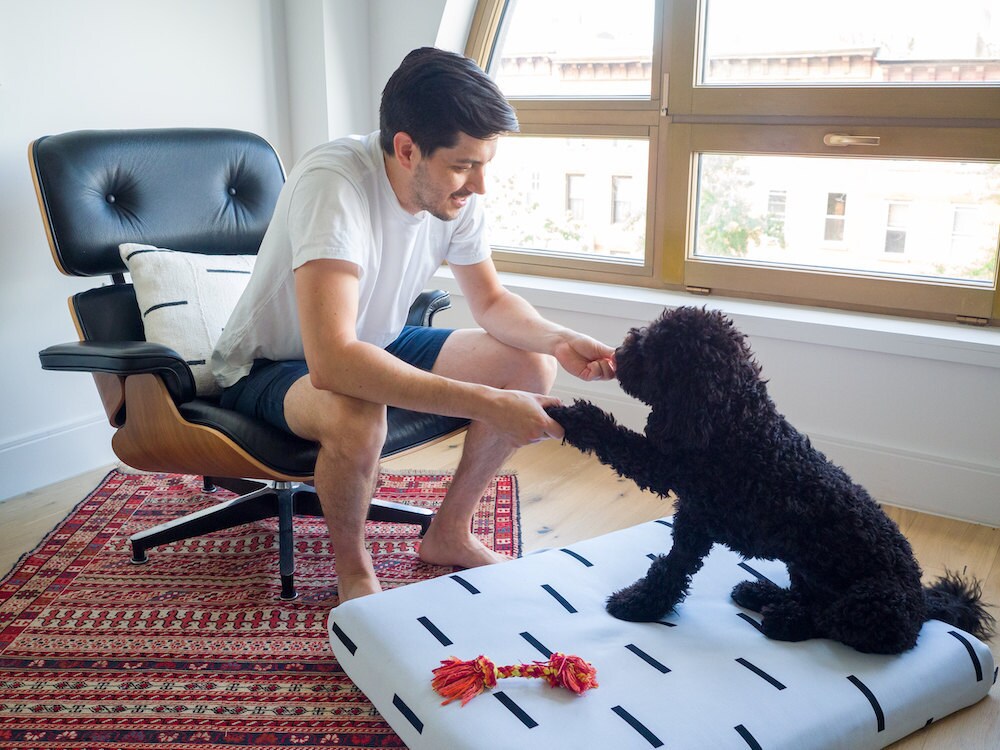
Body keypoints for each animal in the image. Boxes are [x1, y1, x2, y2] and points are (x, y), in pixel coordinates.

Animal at [548, 308, 992, 656]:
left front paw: (573, 415)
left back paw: (785, 618)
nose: (619, 354)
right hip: (805, 568)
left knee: (831, 619)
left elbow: (668, 562)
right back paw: (759, 593)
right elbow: (671, 566)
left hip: (875, 604)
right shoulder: (693, 516)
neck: (735, 419)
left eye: (655, 352)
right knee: (810, 596)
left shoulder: (678, 484)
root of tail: (923, 604)